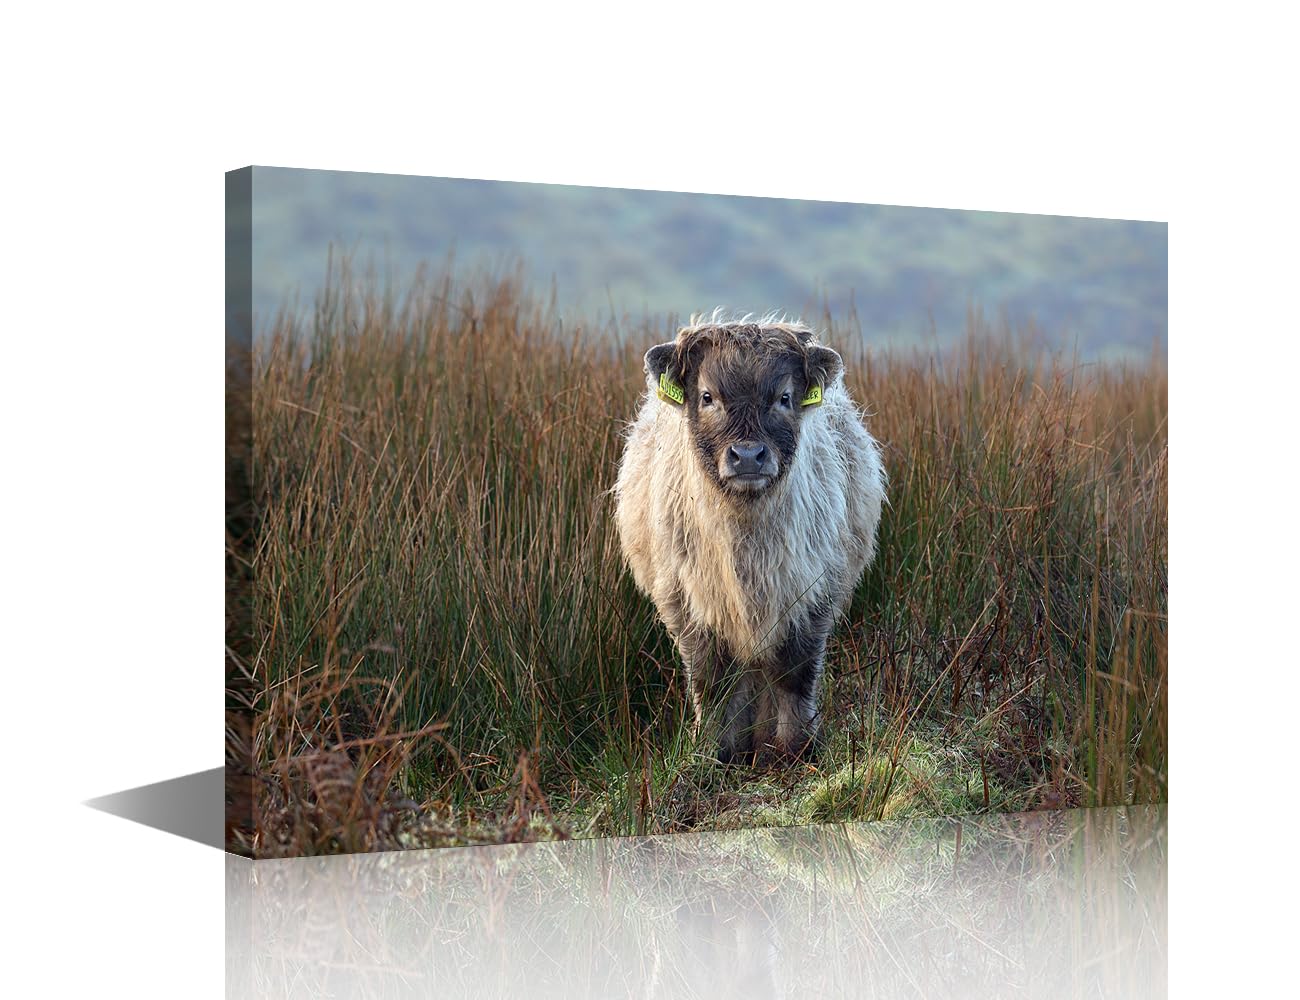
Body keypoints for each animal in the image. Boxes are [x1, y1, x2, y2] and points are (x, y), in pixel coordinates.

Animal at [613, 314, 886, 764]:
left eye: (784, 397)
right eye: (707, 396)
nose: (747, 456)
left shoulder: (813, 595)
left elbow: (795, 673)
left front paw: (796, 747)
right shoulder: (688, 604)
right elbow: (711, 682)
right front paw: (713, 750)